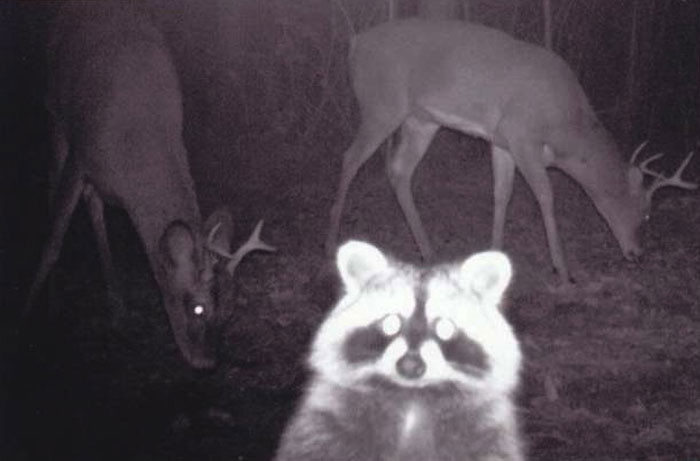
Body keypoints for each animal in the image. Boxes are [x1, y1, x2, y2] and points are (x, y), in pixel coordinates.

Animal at [274, 241, 524, 461]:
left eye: (444, 327)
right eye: (390, 323)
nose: (410, 365)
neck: (412, 395)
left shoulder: (488, 433)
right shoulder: (324, 424)